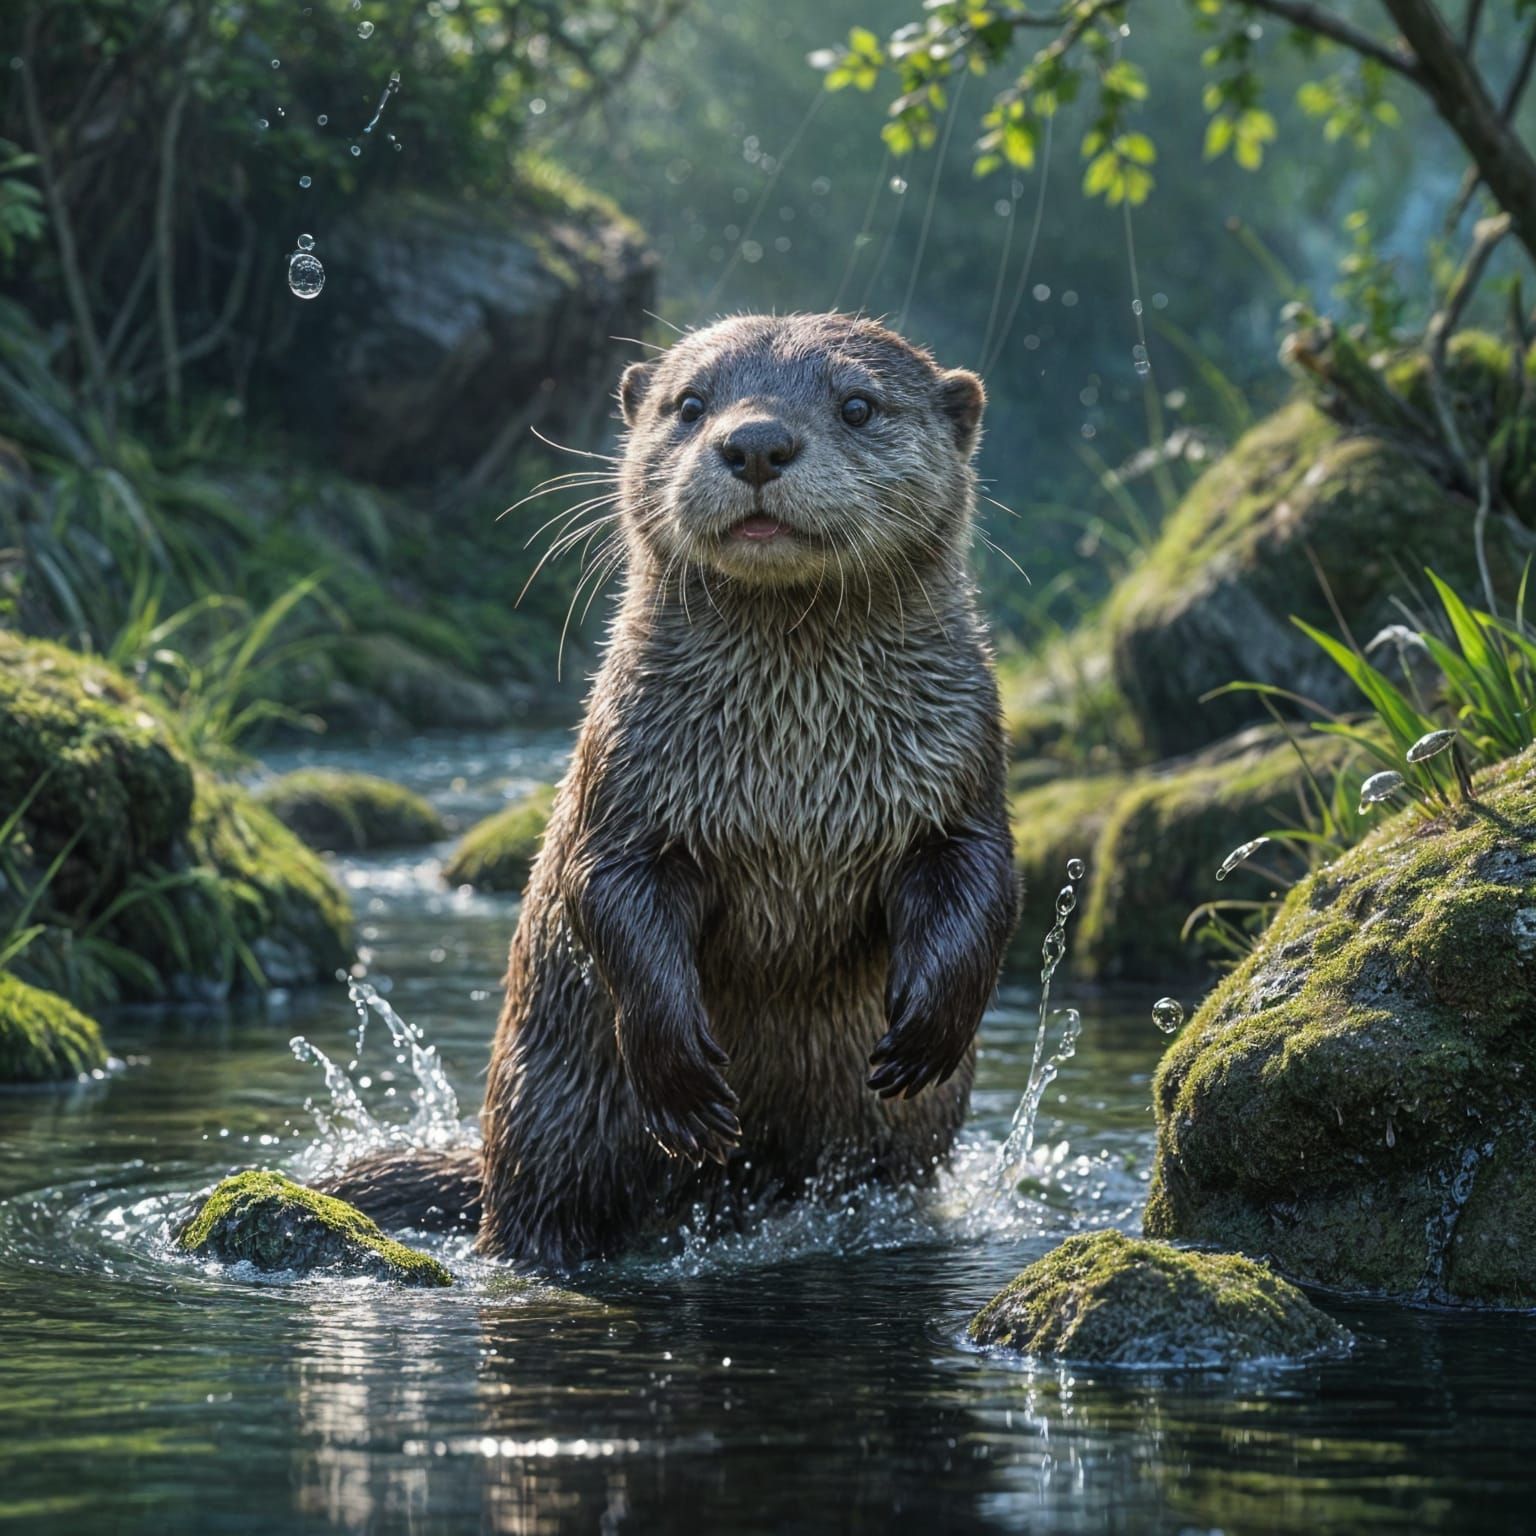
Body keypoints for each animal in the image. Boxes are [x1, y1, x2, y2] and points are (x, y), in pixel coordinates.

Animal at [327, 313, 1019, 1268]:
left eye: (857, 404)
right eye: (689, 404)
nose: (755, 441)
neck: (791, 778)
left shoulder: (962, 768)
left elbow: (984, 882)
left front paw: (926, 1035)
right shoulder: (627, 787)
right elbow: (606, 892)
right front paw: (682, 1080)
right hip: (551, 1117)